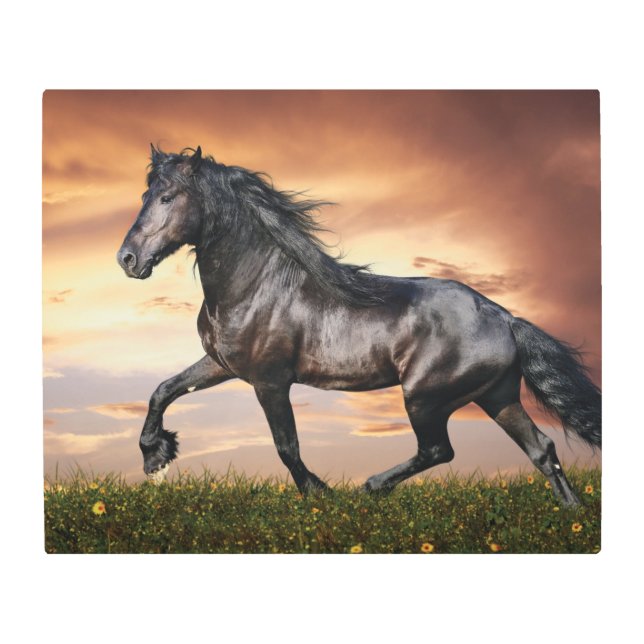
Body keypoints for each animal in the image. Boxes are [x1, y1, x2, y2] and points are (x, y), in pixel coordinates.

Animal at [117, 145, 601, 505]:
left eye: (167, 197)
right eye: (143, 197)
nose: (127, 259)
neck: (256, 285)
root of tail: (504, 318)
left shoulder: (270, 381)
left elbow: (286, 446)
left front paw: (320, 494)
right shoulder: (223, 365)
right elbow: (163, 390)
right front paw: (156, 456)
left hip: (425, 398)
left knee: (439, 450)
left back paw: (370, 487)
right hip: (496, 397)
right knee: (542, 450)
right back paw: (571, 516)